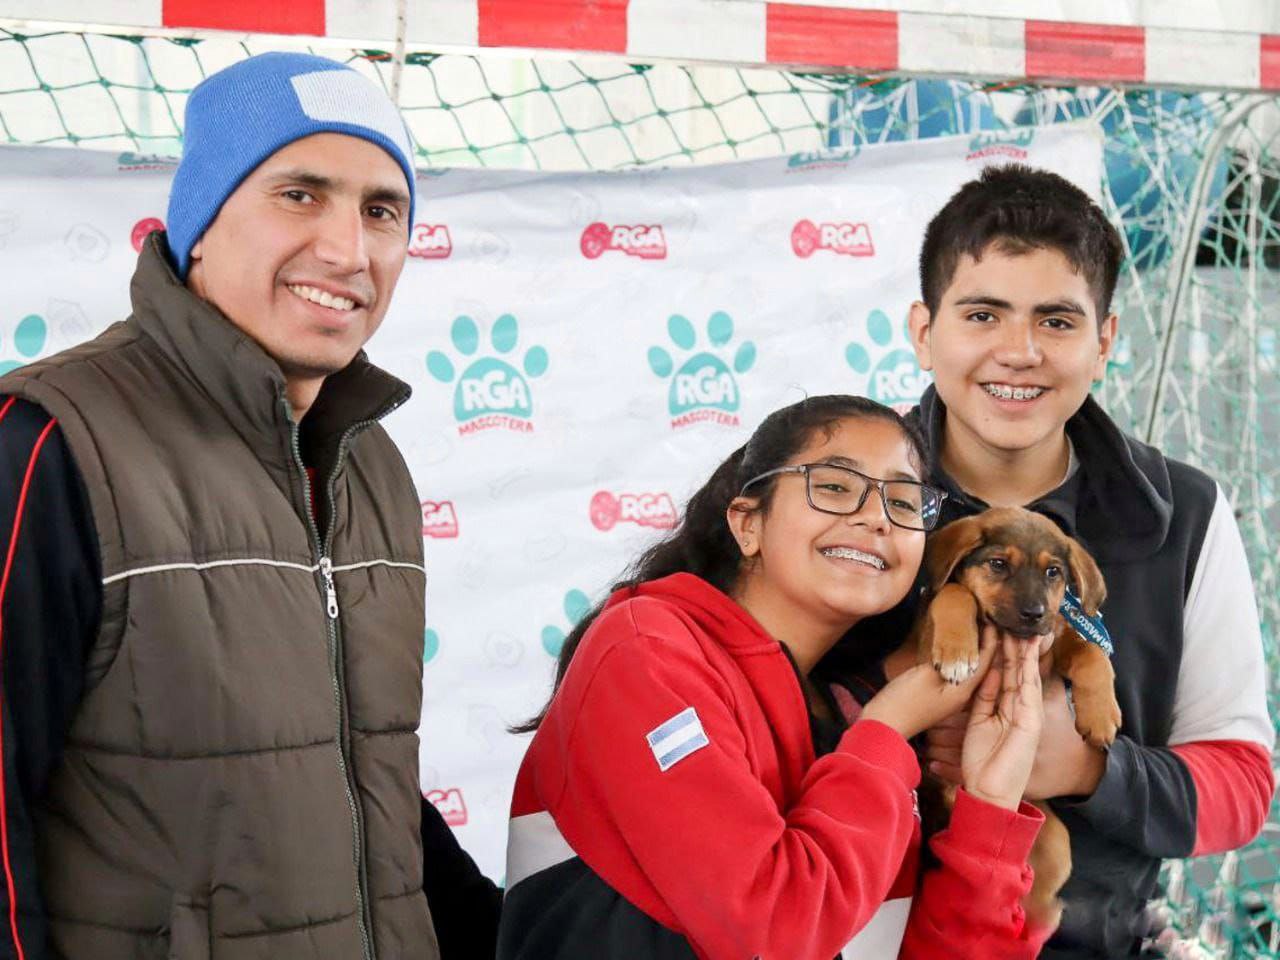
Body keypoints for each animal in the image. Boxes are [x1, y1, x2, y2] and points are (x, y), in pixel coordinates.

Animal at [911, 506, 1121, 936]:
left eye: (1053, 572)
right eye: (997, 564)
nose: (1034, 614)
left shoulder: (1055, 642)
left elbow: (1091, 651)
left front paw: (1101, 713)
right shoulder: (923, 651)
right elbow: (954, 593)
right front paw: (957, 650)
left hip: (1055, 841)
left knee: (1032, 891)